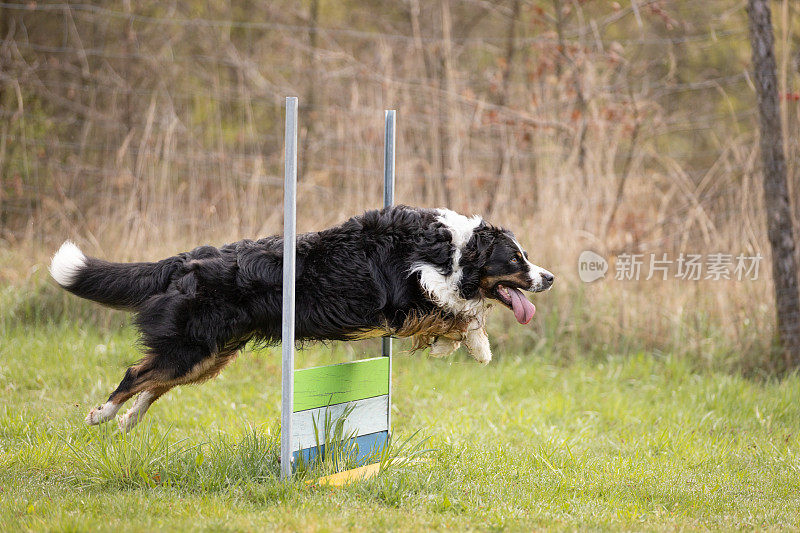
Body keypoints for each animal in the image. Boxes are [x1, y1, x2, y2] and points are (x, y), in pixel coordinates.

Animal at [48, 206, 552, 430]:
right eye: (516, 259)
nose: (548, 277)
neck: (453, 248)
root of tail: (190, 258)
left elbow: (457, 312)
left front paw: (461, 343)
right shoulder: (405, 297)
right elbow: (455, 310)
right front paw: (473, 343)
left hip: (208, 356)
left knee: (154, 381)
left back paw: (129, 420)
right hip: (192, 346)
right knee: (137, 373)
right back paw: (101, 414)